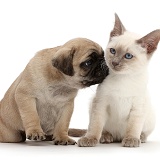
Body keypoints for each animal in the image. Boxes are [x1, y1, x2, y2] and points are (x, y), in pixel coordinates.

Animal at [72, 14, 160, 148]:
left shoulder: (137, 107)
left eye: (128, 56)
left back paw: (140, 137)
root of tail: (118, 137)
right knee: (104, 130)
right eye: (113, 51)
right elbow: (95, 125)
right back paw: (105, 137)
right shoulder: (100, 103)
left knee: (142, 131)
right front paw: (90, 139)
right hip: (92, 104)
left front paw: (131, 139)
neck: (123, 78)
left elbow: (133, 127)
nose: (114, 63)